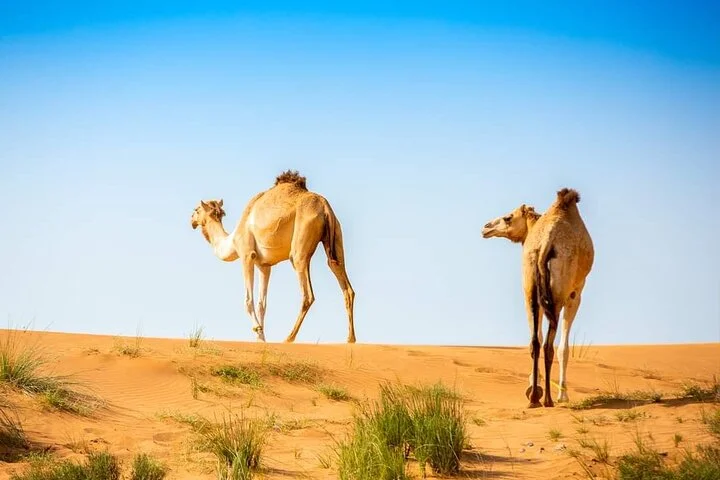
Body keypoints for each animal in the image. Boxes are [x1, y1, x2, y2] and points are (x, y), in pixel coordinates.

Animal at [190, 170, 356, 344]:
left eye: (196, 210)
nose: (191, 220)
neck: (232, 240)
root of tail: (325, 206)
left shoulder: (247, 255)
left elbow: (248, 300)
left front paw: (257, 329)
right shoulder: (264, 266)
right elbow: (262, 304)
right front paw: (261, 338)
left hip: (300, 244)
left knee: (307, 293)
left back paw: (289, 338)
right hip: (336, 236)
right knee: (344, 281)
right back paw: (350, 339)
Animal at [482, 188, 594, 408]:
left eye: (508, 217)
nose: (485, 227)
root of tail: (545, 243)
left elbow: (538, 337)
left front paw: (534, 387)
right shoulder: (575, 294)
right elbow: (564, 348)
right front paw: (563, 396)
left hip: (529, 287)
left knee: (535, 342)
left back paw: (534, 398)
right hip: (558, 292)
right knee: (549, 345)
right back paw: (549, 399)